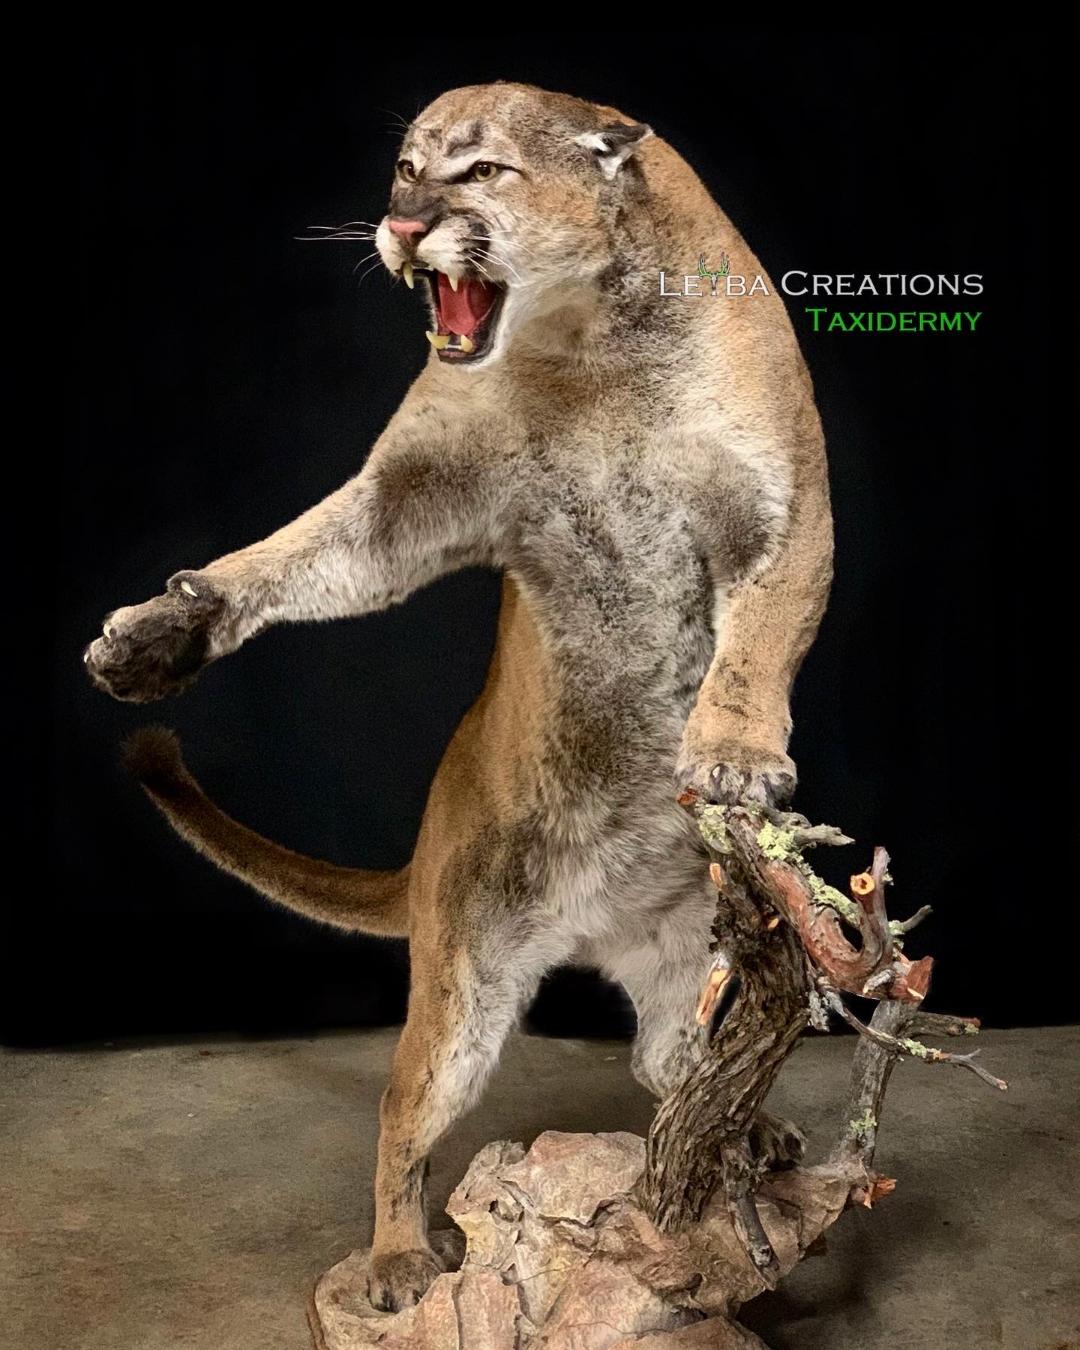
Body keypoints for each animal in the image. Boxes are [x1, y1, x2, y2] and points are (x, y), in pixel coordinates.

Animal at [84, 82, 832, 1311]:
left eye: (480, 171)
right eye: (404, 168)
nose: (398, 225)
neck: (589, 344)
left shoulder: (780, 515)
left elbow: (757, 643)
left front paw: (732, 753)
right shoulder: (412, 497)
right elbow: (297, 556)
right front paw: (164, 633)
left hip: (696, 950)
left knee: (667, 1062)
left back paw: (747, 1137)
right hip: (464, 984)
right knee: (405, 1107)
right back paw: (397, 1260)